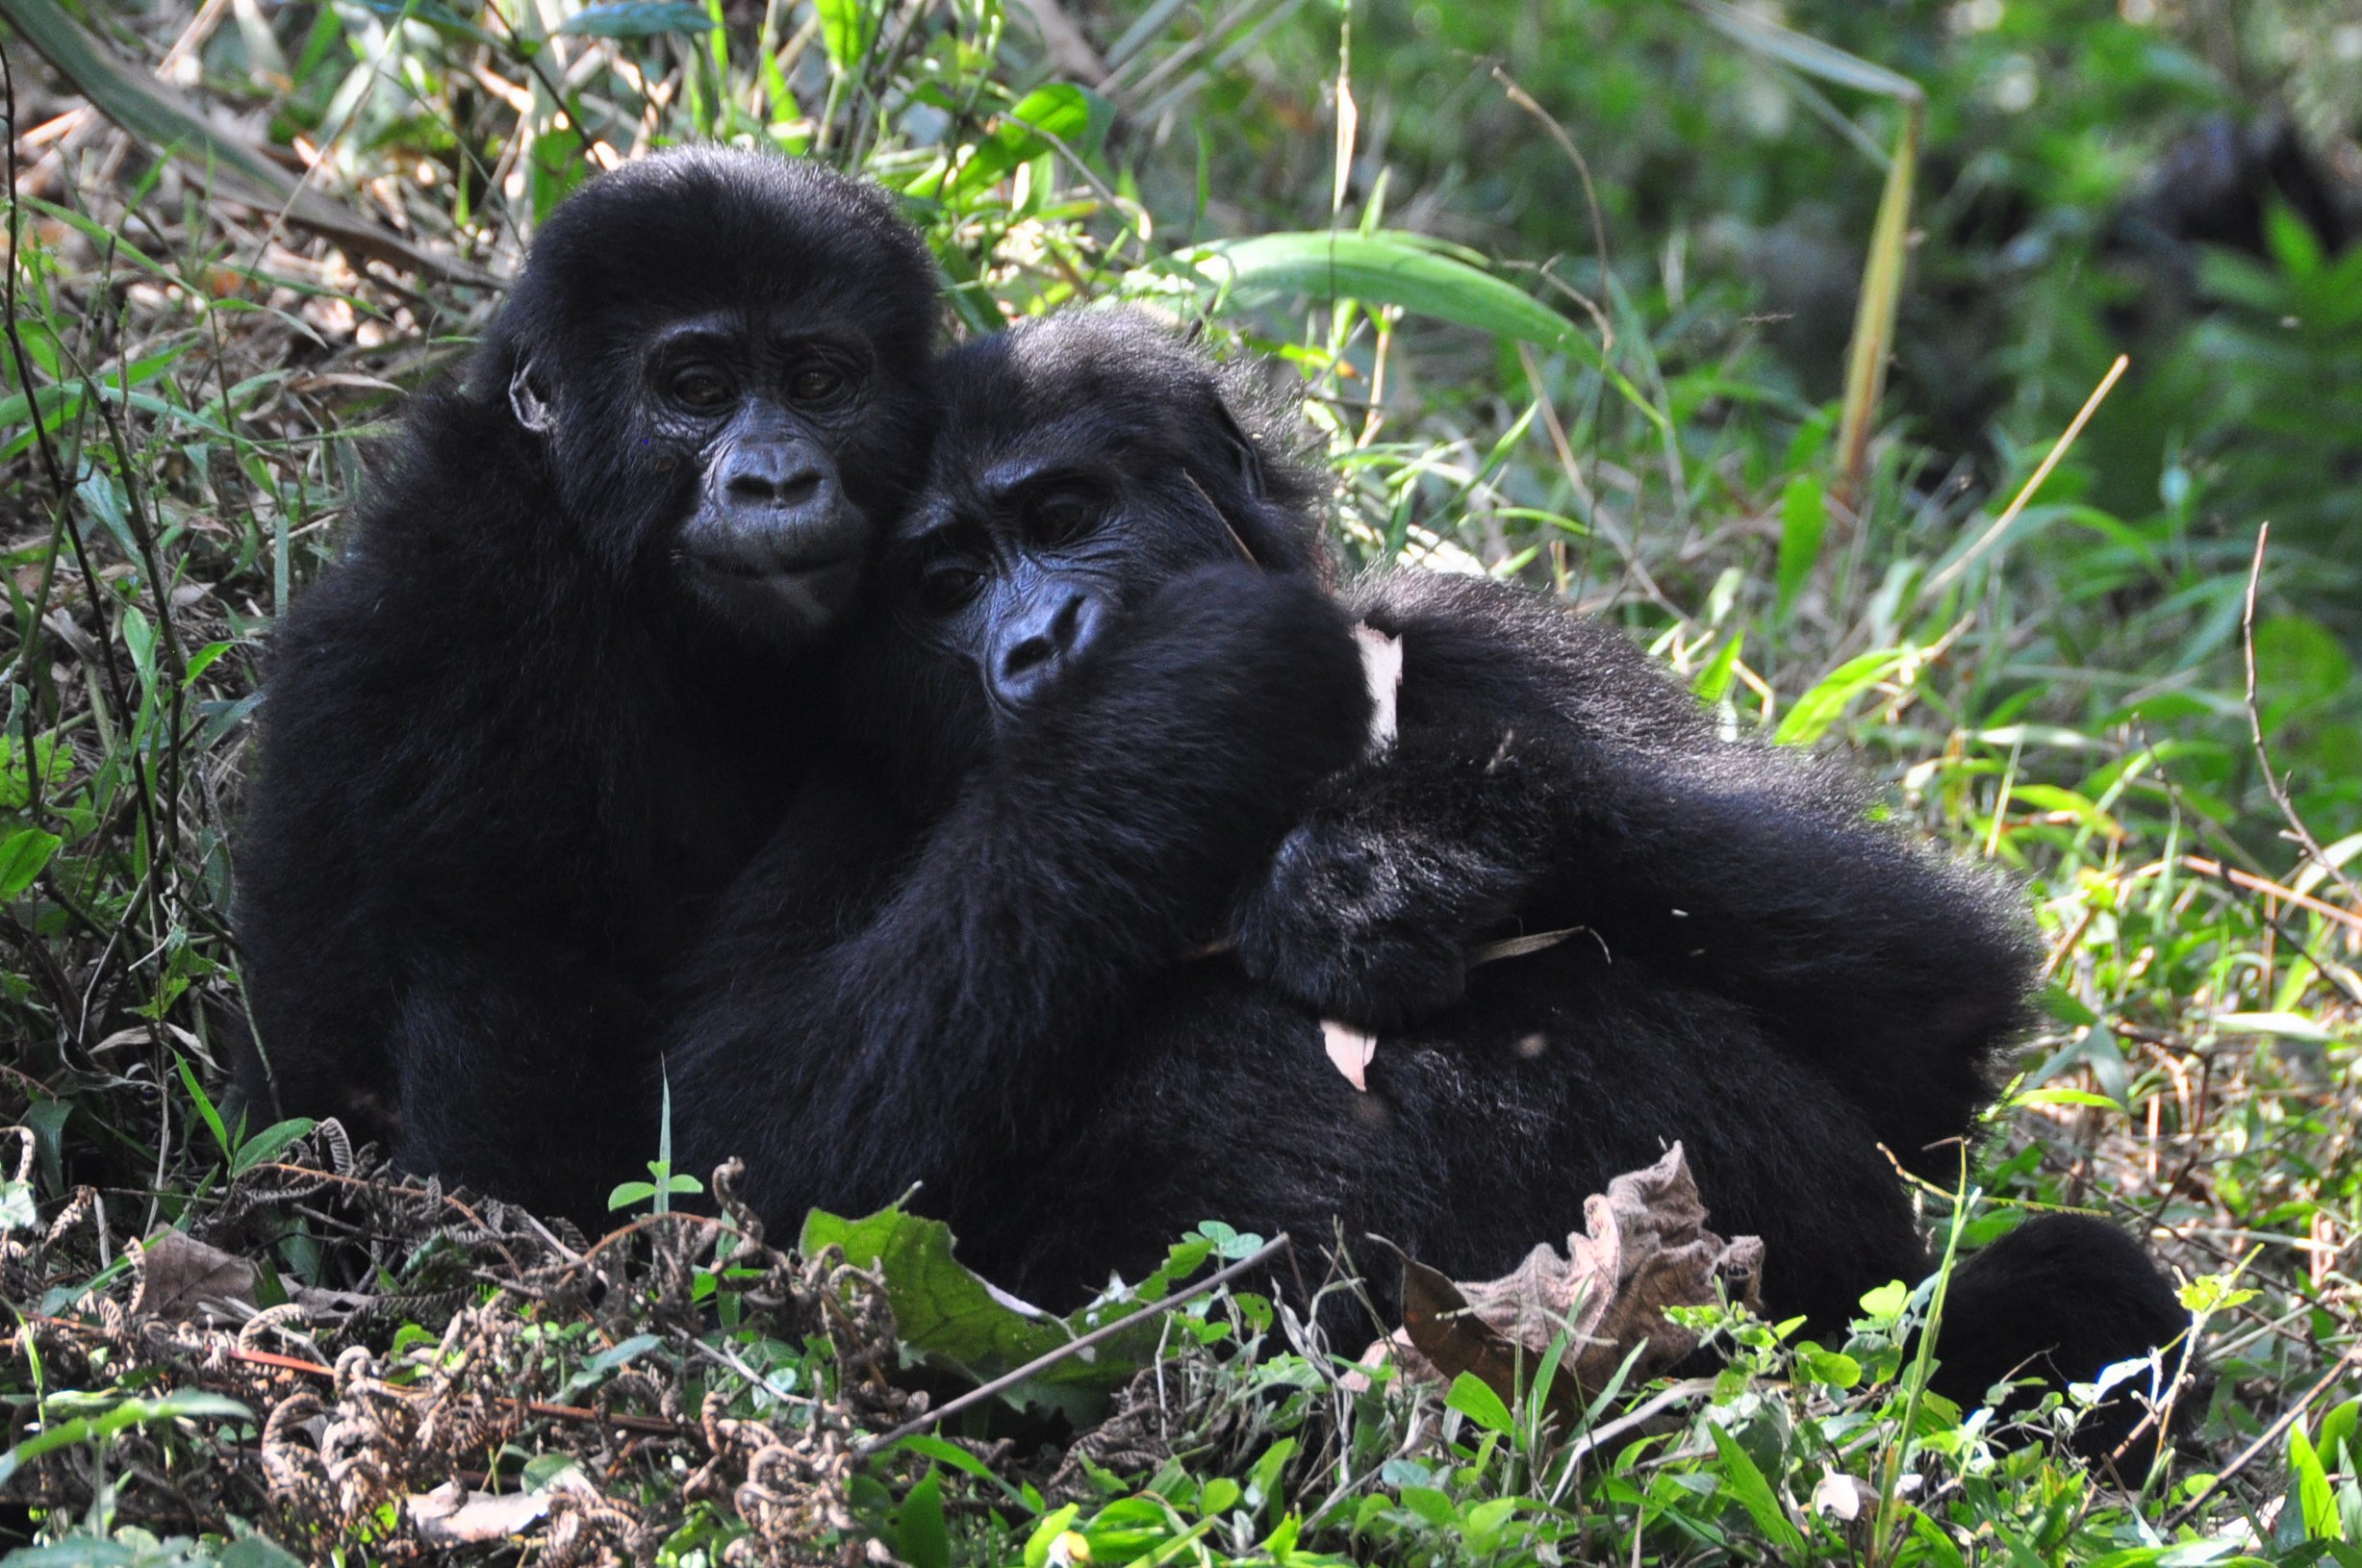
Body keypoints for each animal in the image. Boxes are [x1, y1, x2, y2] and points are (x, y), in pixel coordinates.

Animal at [666, 307, 2192, 1454]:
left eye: (1061, 512)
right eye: (943, 582)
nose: (1042, 644)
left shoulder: (1480, 631)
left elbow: (1924, 1008)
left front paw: (1392, 852)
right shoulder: (846, 796)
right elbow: (757, 1164)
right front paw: (1161, 721)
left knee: (2063, 1291)